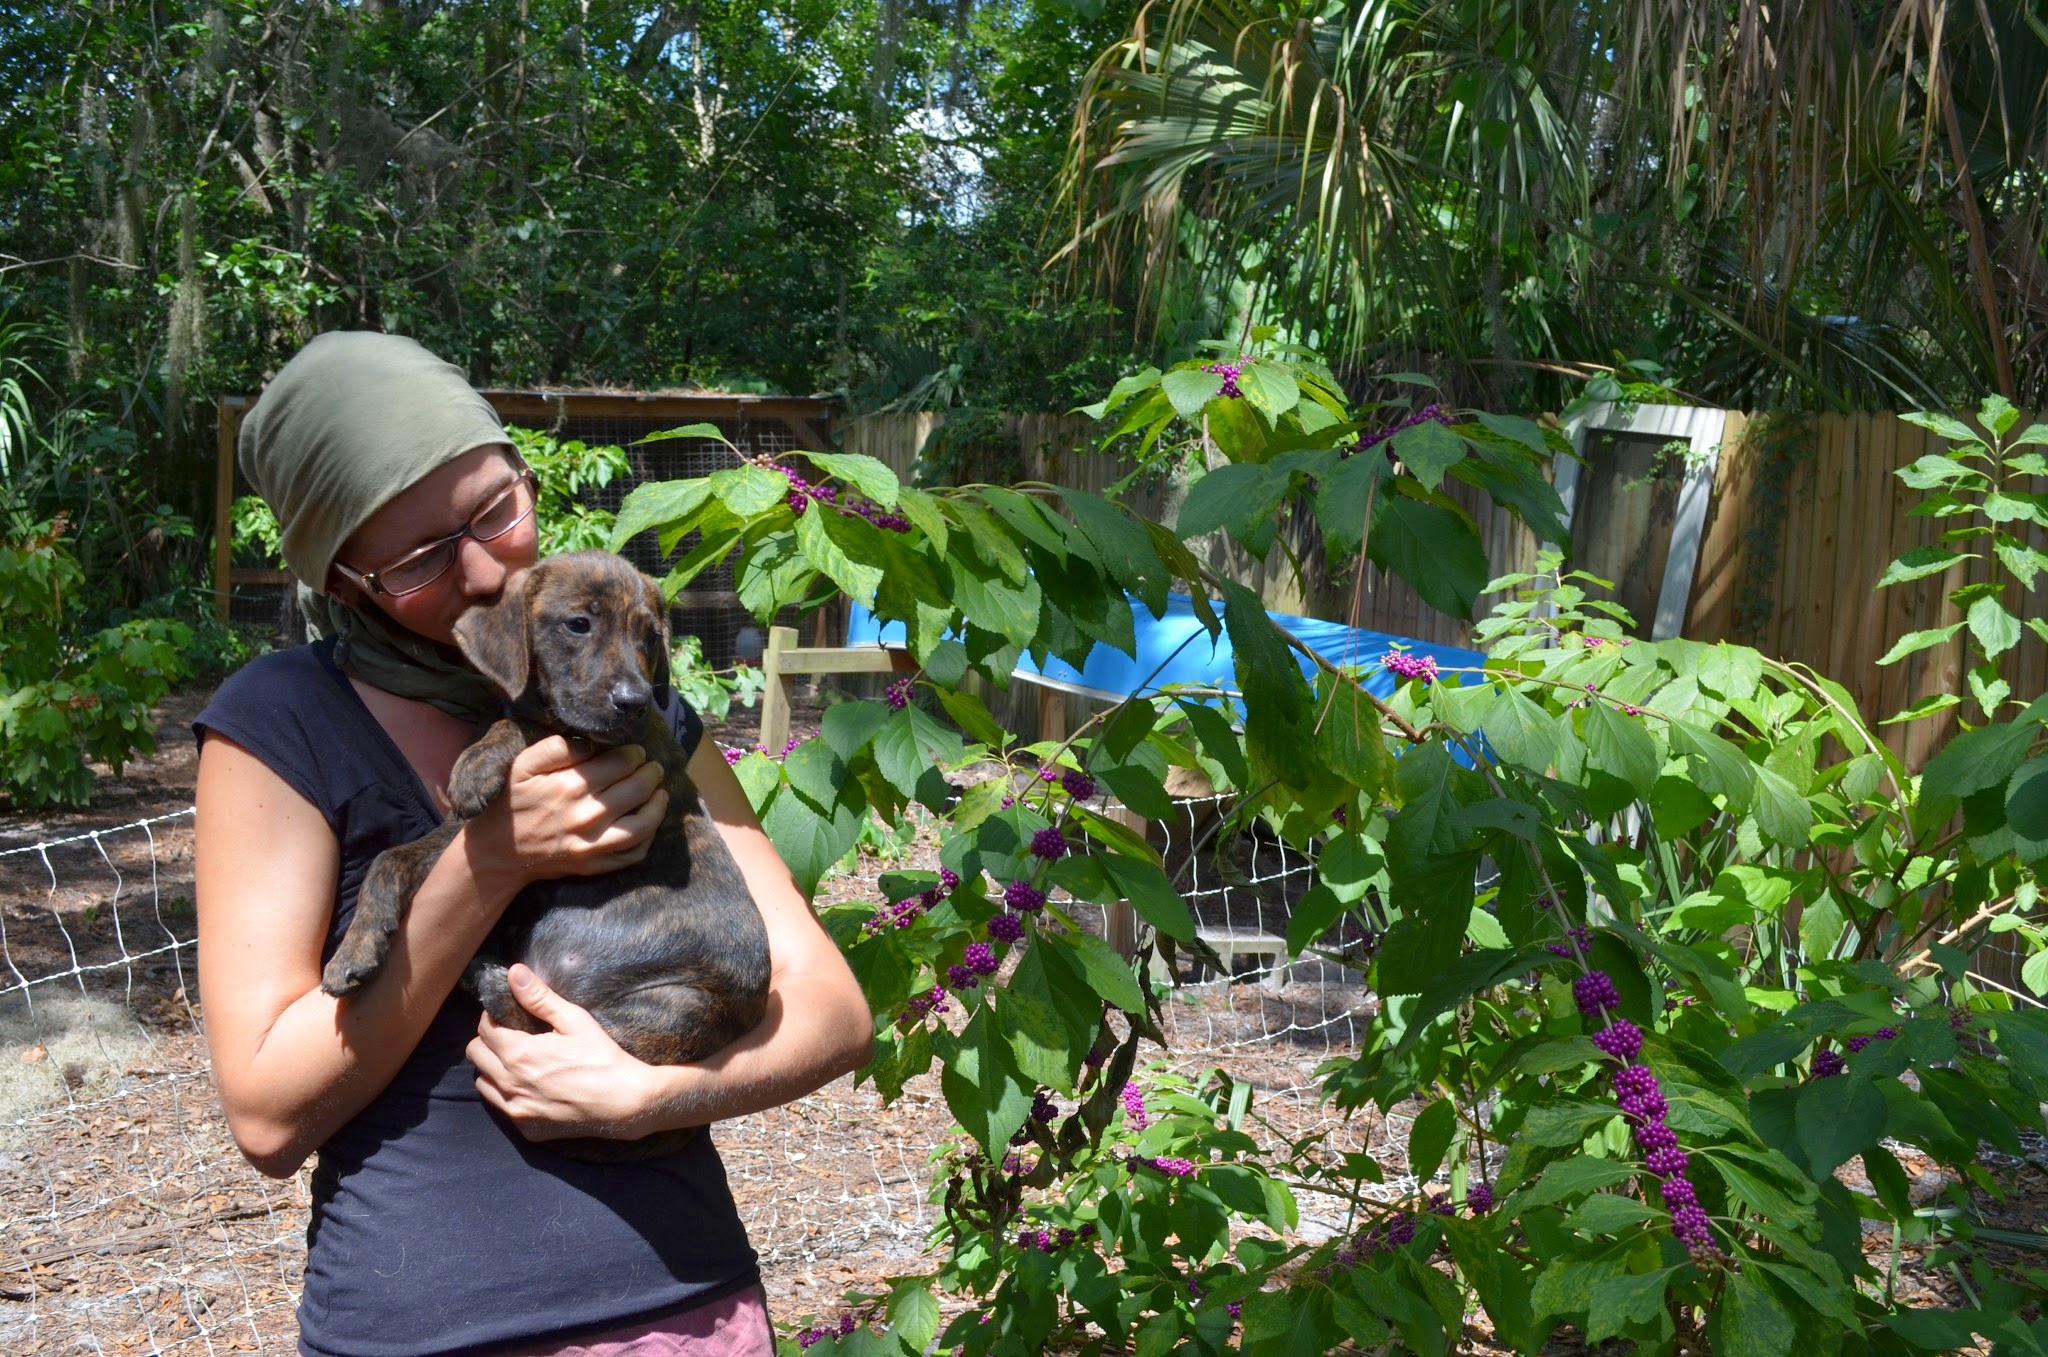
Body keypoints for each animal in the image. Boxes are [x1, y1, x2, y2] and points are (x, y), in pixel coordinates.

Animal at [320, 551, 771, 1160]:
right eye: (578, 625)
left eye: (649, 638)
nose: (634, 701)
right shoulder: (461, 832)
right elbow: (391, 858)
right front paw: (356, 950)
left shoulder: (611, 745)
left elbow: (524, 725)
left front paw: (477, 762)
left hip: (678, 1007)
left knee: (555, 1031)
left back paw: (490, 979)